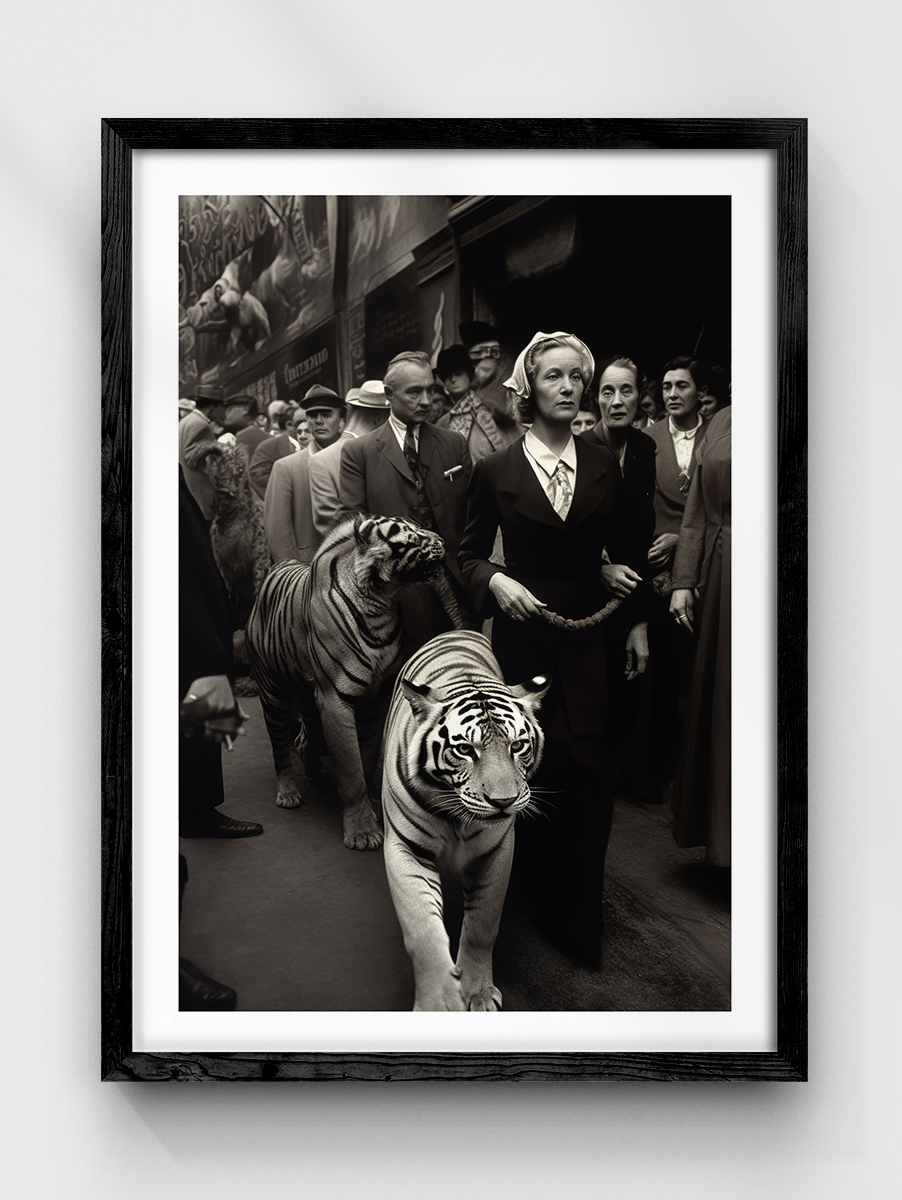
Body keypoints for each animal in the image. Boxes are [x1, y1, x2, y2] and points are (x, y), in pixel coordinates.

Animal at [245, 513, 458, 851]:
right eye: (412, 536)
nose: (443, 541)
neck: (381, 601)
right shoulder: (334, 697)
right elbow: (350, 768)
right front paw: (362, 832)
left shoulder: (377, 696)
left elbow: (366, 757)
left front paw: (370, 807)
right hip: (273, 693)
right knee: (280, 748)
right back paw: (288, 793)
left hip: (308, 695)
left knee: (307, 735)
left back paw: (312, 768)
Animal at [382, 630, 549, 1011]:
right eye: (464, 750)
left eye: (518, 746)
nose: (503, 802)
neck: (457, 818)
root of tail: (457, 630)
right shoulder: (406, 848)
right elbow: (423, 933)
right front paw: (439, 1003)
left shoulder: (497, 850)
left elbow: (483, 925)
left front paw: (478, 992)